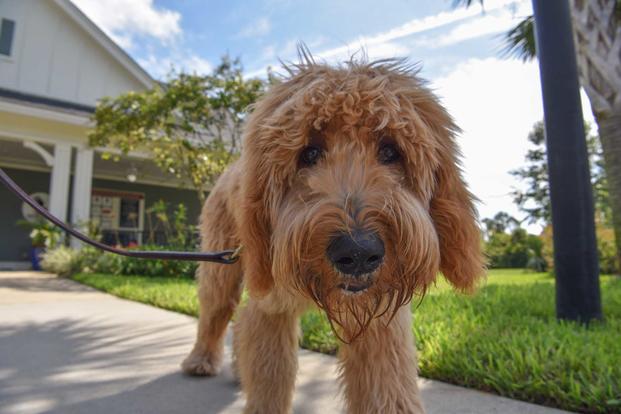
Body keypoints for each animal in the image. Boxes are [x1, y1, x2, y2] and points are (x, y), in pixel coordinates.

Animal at [179, 52, 484, 414]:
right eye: (308, 153)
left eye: (390, 151)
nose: (358, 252)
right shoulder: (273, 308)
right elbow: (270, 378)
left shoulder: (380, 323)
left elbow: (388, 388)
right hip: (222, 269)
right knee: (216, 311)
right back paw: (200, 360)